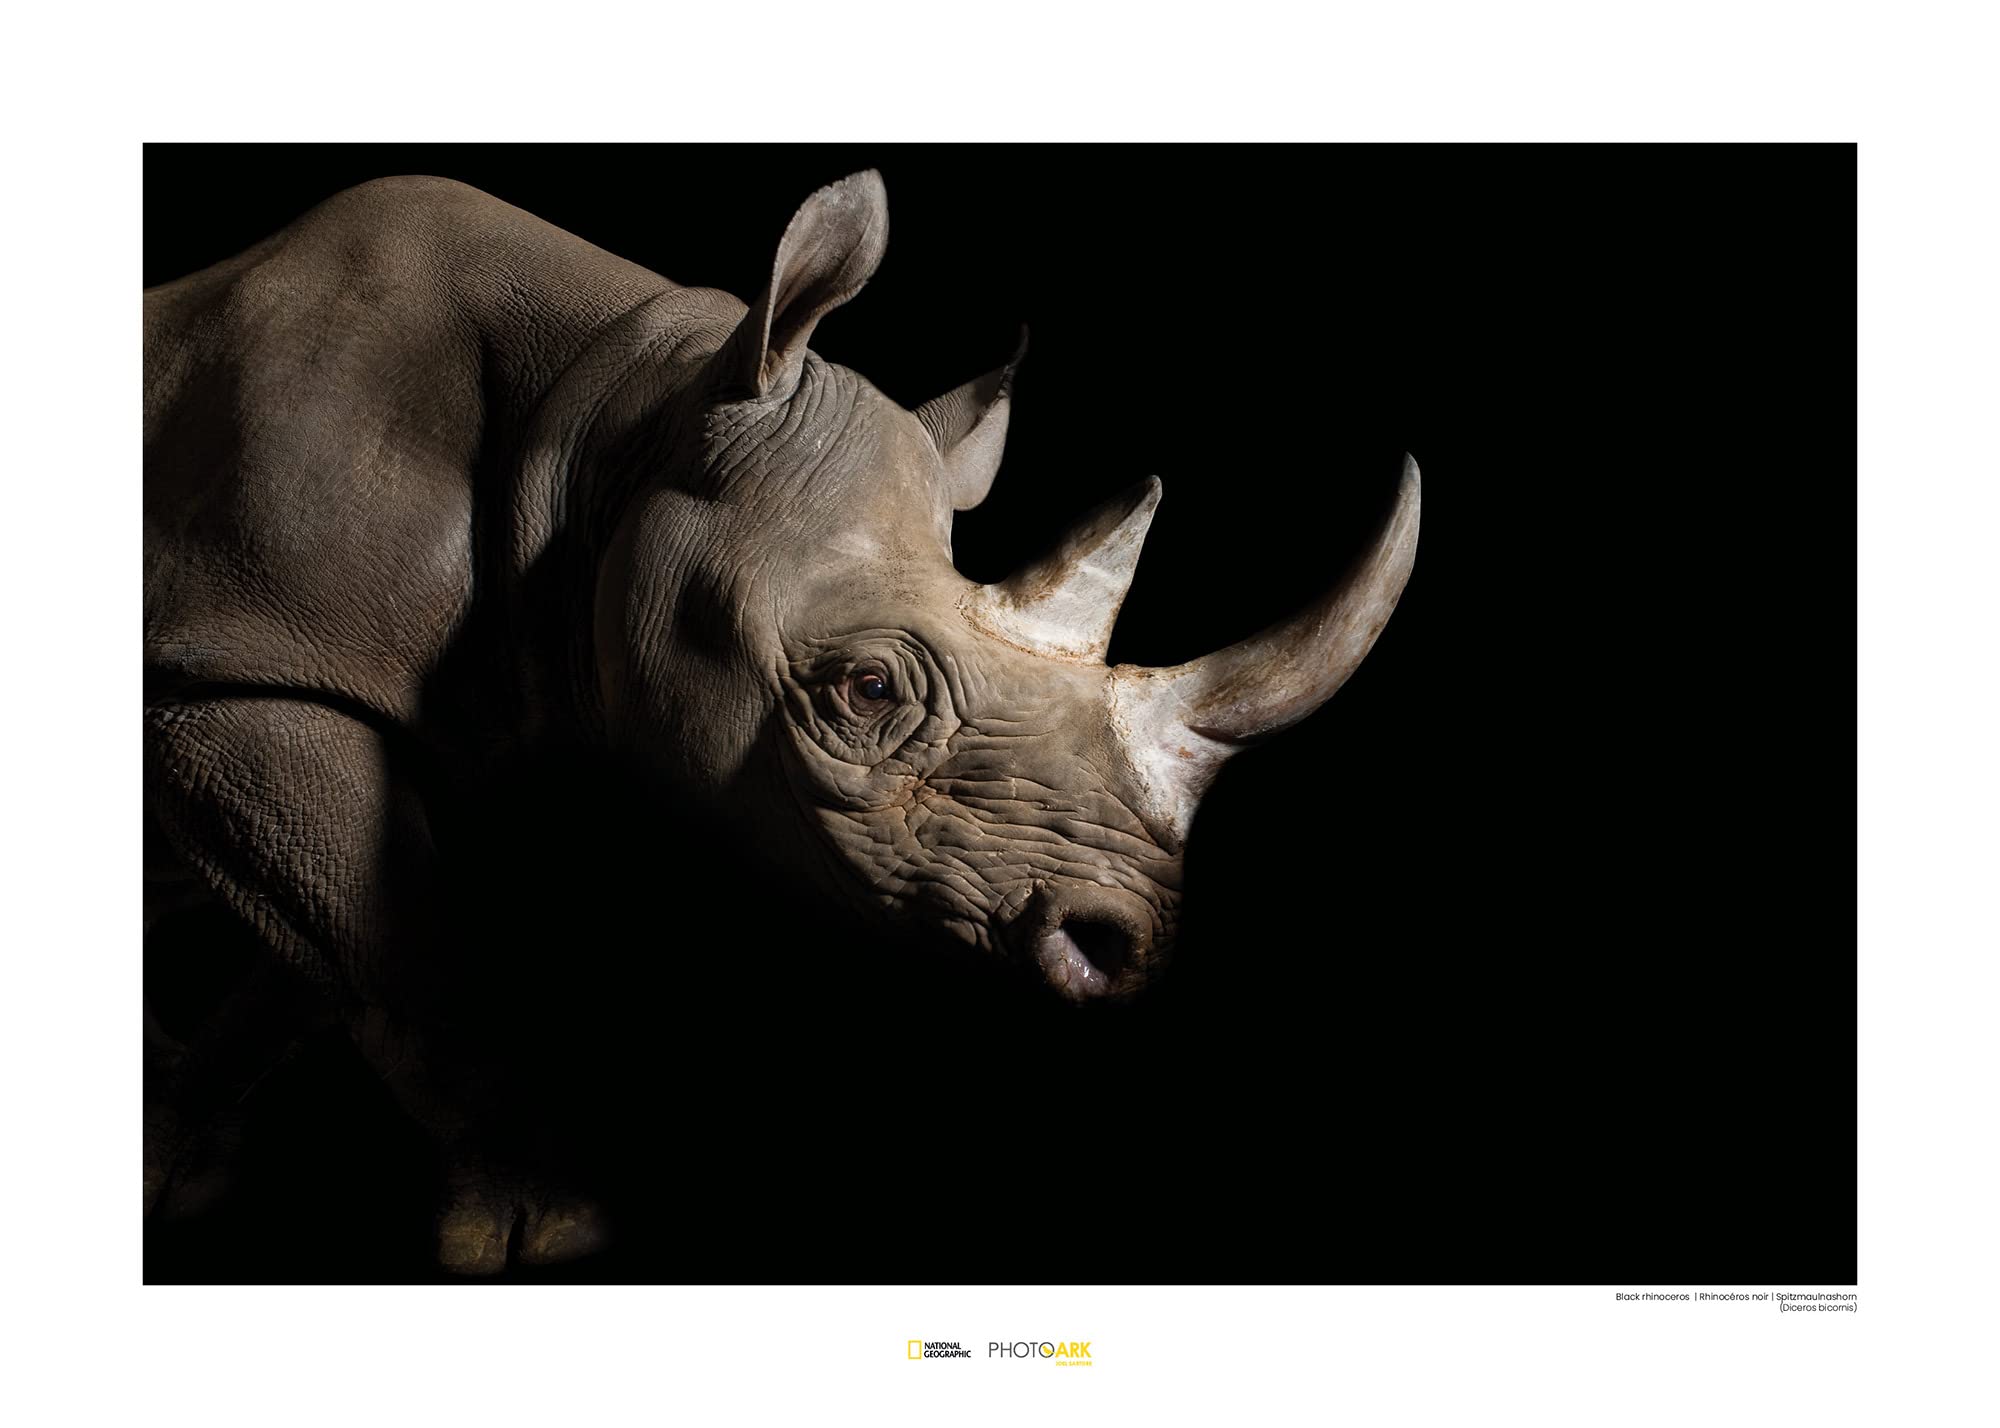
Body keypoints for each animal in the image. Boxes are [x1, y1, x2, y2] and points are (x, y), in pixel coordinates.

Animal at [143, 170, 1419, 1273]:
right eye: (868, 690)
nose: (1120, 949)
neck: (616, 424)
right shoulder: (235, 673)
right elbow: (399, 936)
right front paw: (545, 1231)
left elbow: (335, 937)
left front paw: (173, 1168)